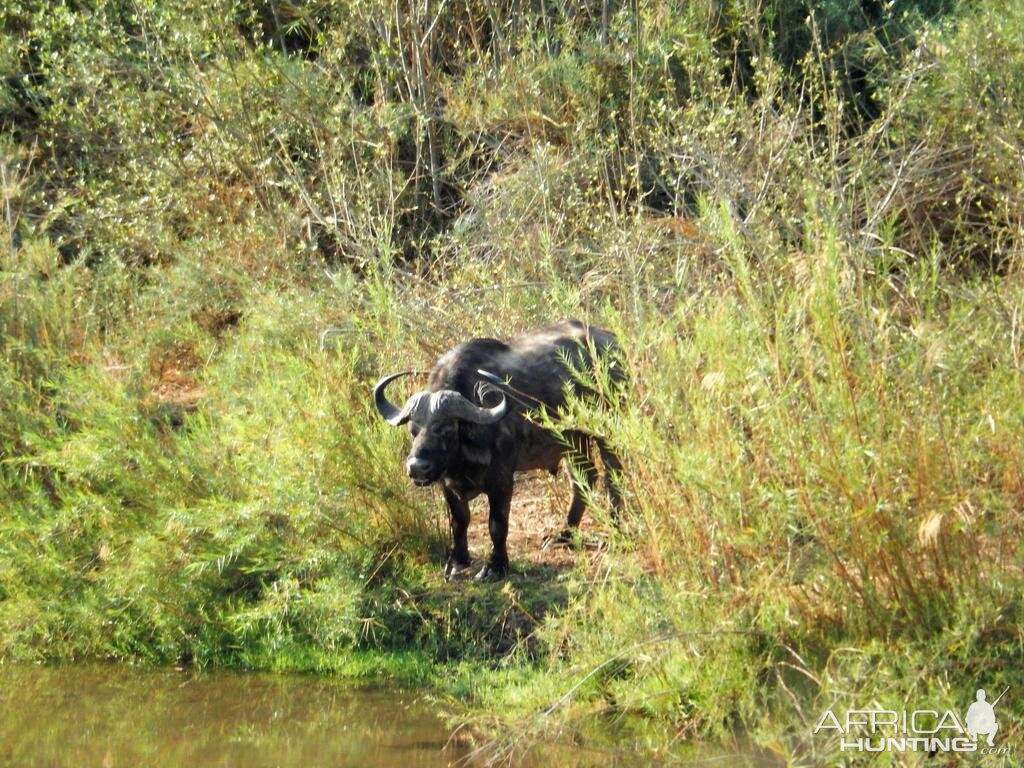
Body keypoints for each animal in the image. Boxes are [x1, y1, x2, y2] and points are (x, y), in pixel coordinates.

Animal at [370, 319, 618, 581]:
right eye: (413, 430)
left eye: (446, 428)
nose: (417, 468)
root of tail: (611, 341)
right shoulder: (446, 484)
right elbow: (459, 522)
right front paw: (457, 562)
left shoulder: (502, 479)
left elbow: (497, 524)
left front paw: (495, 566)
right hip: (571, 438)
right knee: (584, 477)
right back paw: (564, 535)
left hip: (608, 426)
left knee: (612, 476)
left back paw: (615, 529)